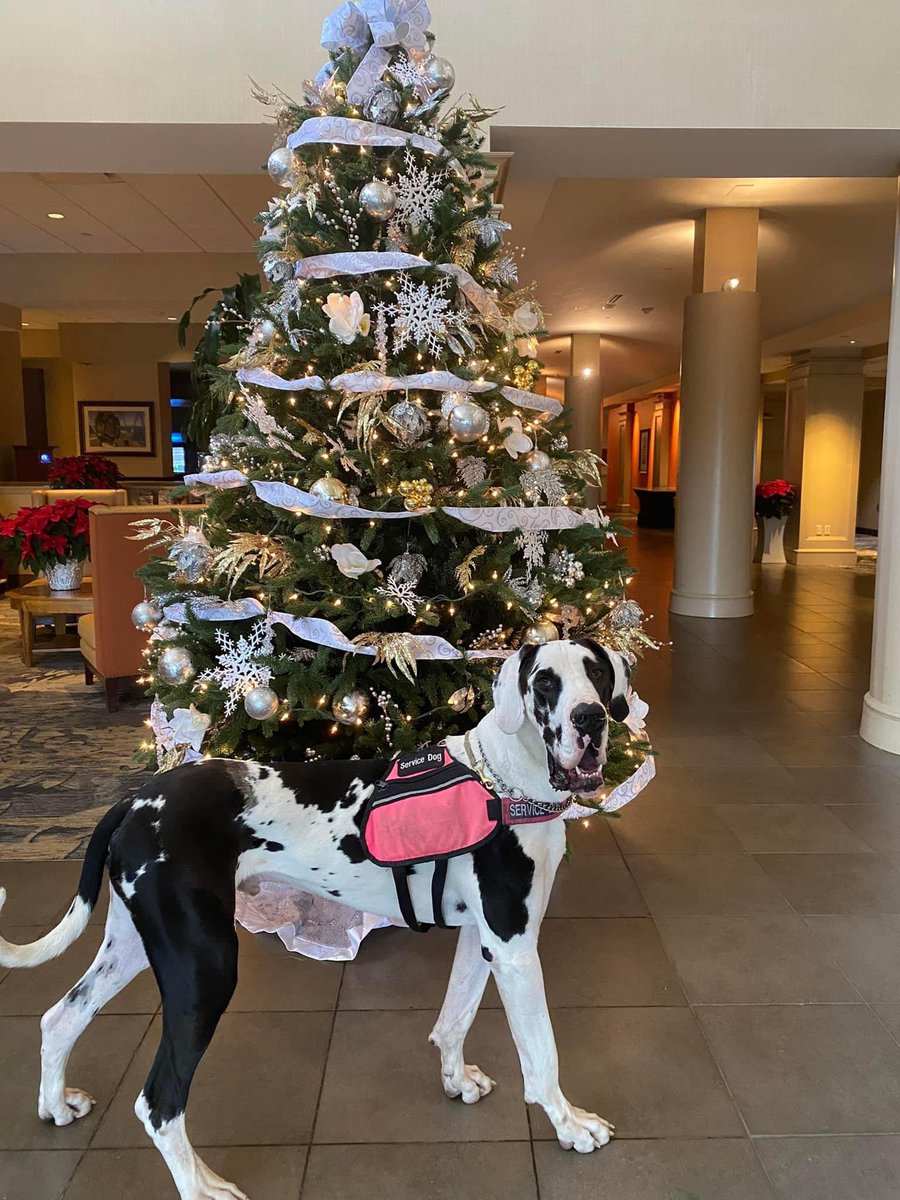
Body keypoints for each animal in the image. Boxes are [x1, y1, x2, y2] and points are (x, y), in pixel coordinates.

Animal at [1, 643, 633, 1200]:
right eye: (545, 683)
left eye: (598, 675)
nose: (590, 718)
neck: (501, 780)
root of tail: (133, 801)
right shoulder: (516, 948)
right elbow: (542, 1053)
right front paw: (570, 1124)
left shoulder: (486, 939)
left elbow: (454, 1019)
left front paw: (456, 1079)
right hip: (205, 969)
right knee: (158, 1100)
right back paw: (200, 1185)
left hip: (136, 945)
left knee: (60, 1018)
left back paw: (56, 1105)